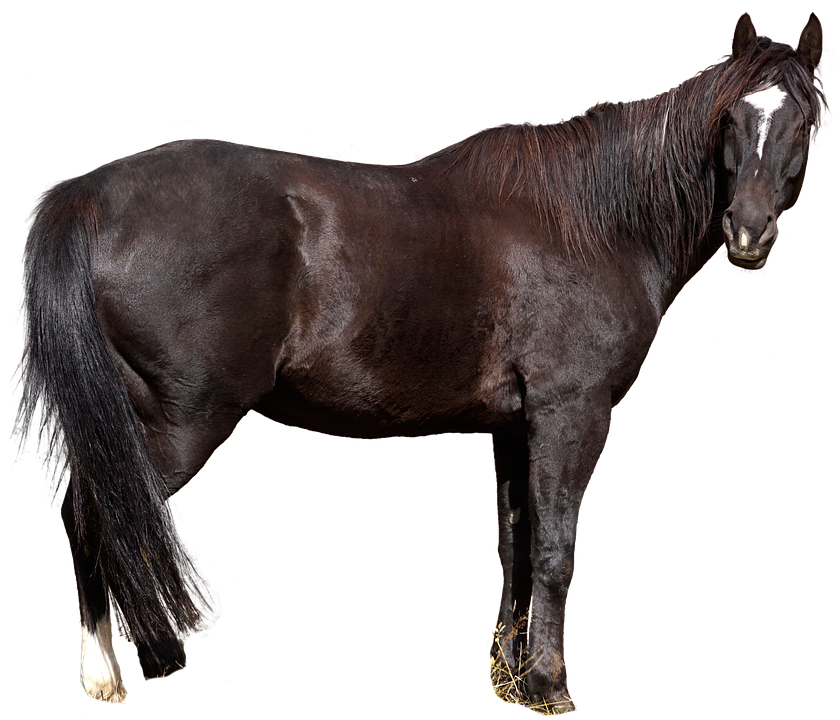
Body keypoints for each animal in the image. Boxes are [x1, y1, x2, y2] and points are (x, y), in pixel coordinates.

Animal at [10, 12, 829, 714]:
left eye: (806, 117)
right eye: (732, 118)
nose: (749, 232)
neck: (595, 222)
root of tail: (84, 195)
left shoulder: (514, 424)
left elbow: (514, 544)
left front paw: (508, 672)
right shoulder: (572, 412)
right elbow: (555, 546)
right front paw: (548, 686)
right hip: (181, 416)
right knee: (101, 512)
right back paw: (108, 673)